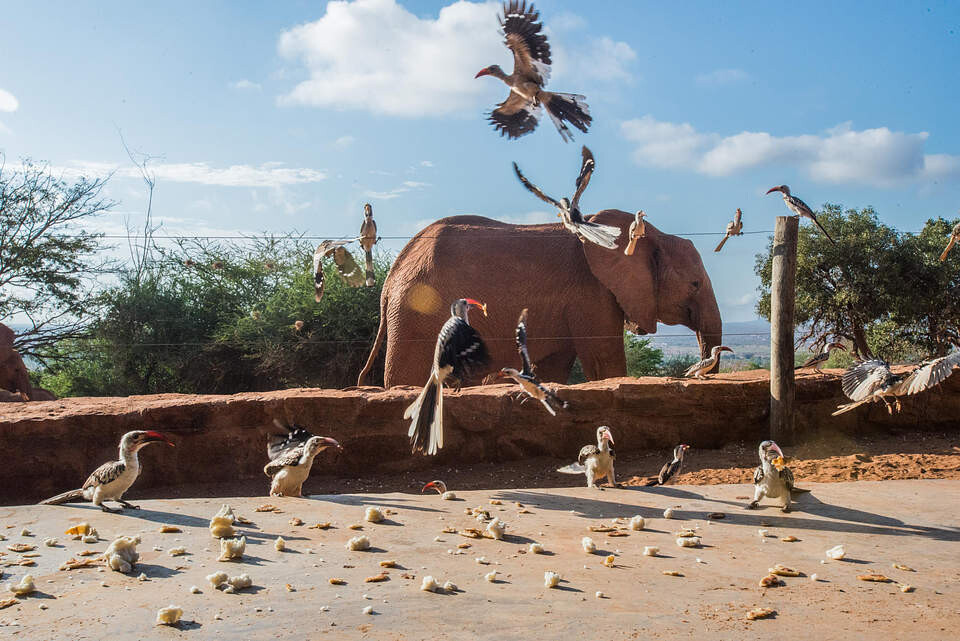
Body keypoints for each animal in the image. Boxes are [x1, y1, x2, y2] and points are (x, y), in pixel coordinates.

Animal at [357, 210, 722, 388]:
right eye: (694, 284)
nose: (694, 372)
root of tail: (390, 280)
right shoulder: (592, 292)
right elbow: (605, 363)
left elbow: (552, 368)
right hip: (418, 313)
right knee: (407, 376)